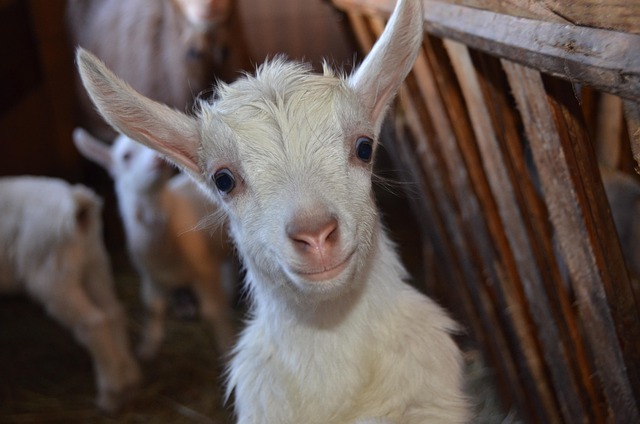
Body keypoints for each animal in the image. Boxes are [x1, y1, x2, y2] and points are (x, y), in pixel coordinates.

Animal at [0, 176, 140, 412]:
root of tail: (78, 202)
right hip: (94, 264)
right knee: (113, 312)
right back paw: (128, 378)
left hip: (52, 274)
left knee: (93, 322)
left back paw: (111, 393)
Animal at [73, 129, 237, 359]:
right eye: (125, 156)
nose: (158, 160)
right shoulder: (151, 276)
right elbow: (152, 308)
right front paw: (148, 346)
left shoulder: (204, 270)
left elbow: (212, 311)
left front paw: (225, 342)